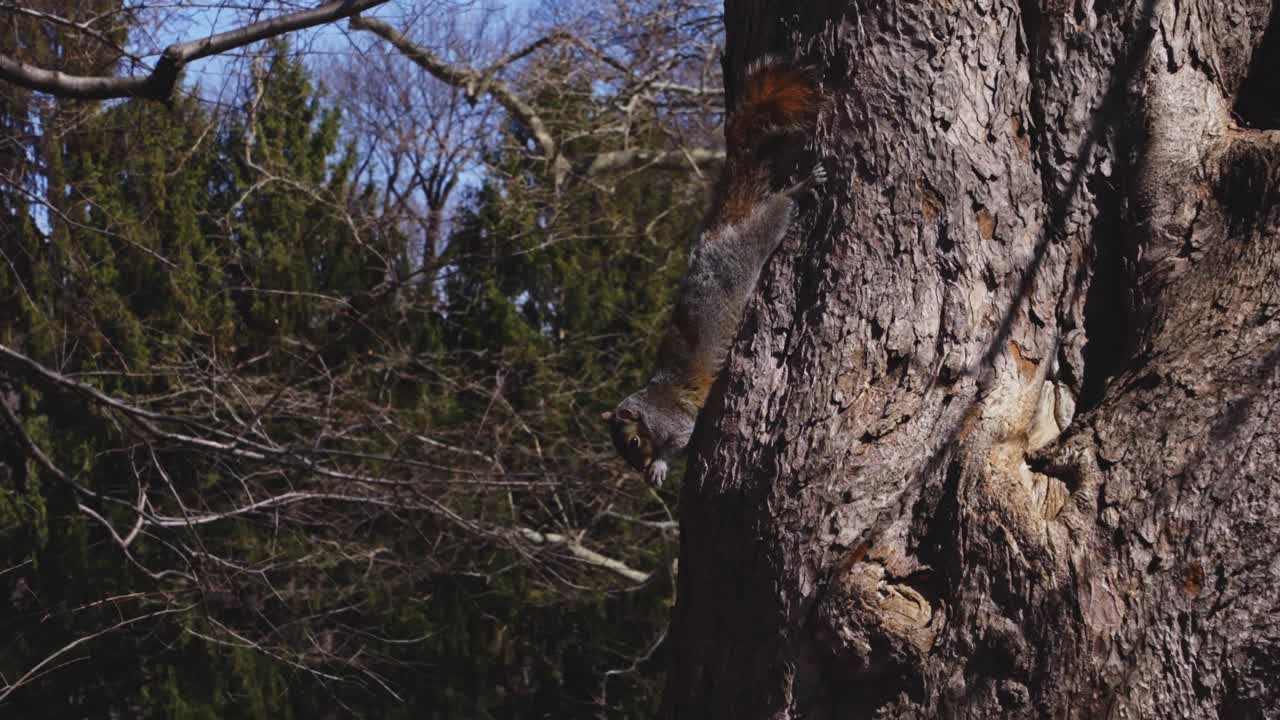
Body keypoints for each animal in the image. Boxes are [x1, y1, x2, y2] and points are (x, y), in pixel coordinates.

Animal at [602, 57, 824, 486]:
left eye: (633, 442)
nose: (637, 470)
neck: (651, 407)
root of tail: (719, 232)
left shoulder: (677, 421)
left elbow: (680, 441)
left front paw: (659, 465)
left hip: (752, 242)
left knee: (776, 212)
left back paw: (801, 187)